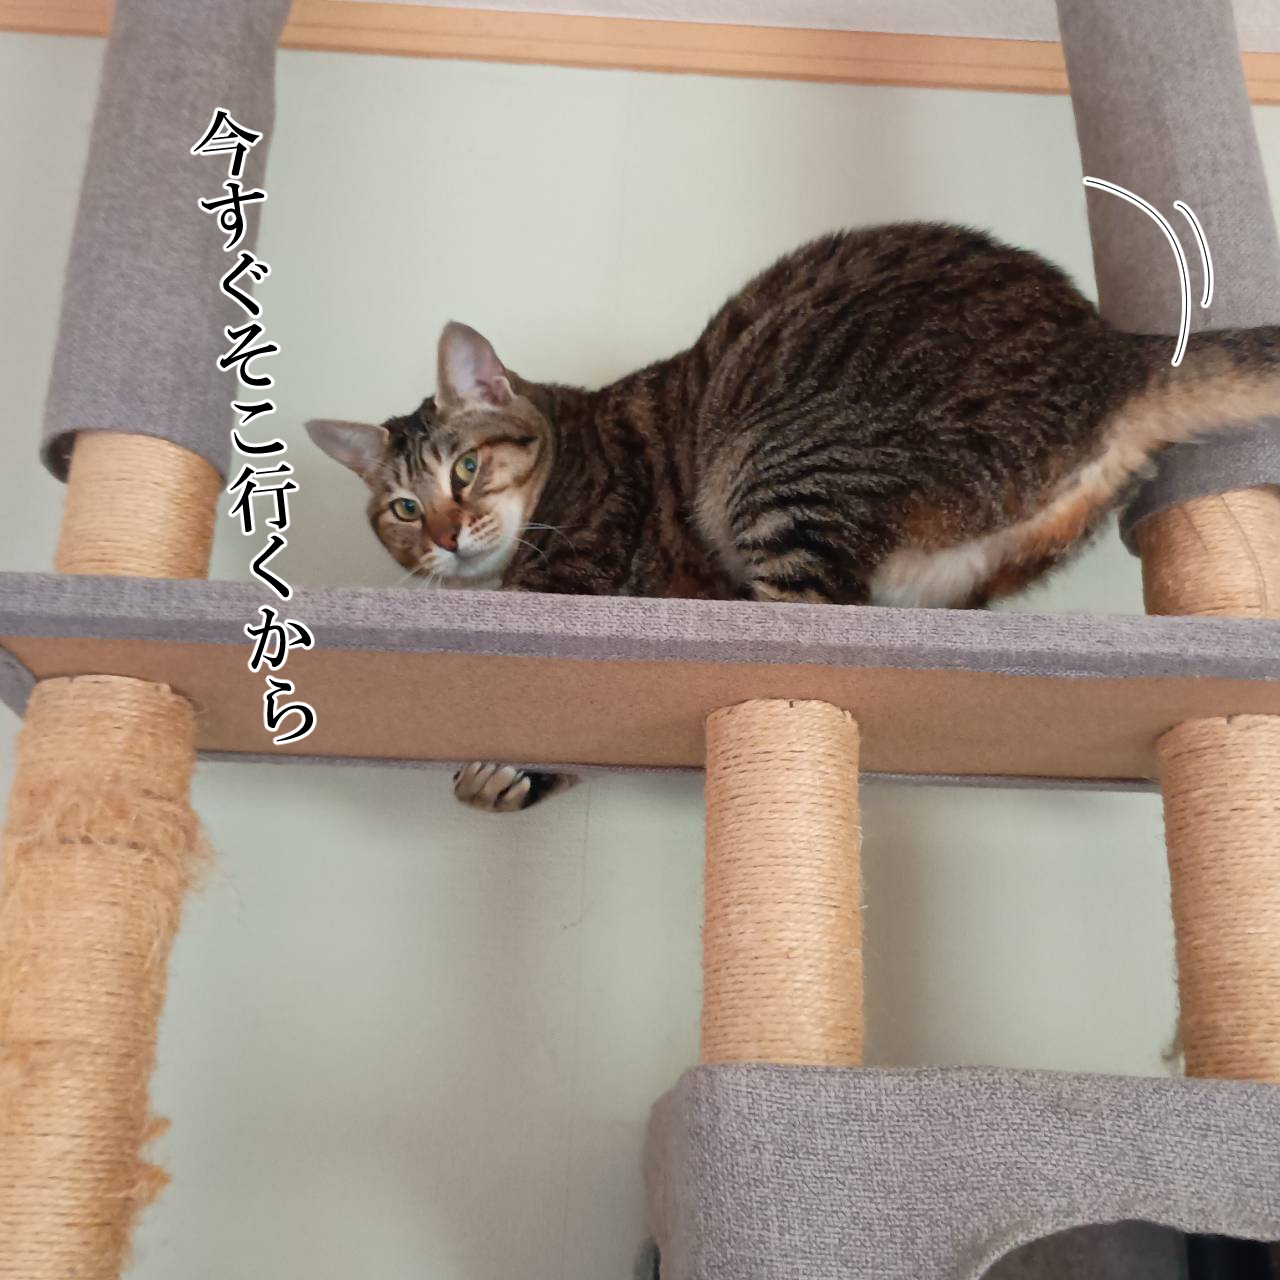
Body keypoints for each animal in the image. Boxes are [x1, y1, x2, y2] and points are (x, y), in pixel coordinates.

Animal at [308, 221, 1280, 813]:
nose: (443, 536)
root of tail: (1105, 350)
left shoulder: (574, 579)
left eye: (466, 469)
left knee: (802, 622)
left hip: (783, 464)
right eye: (402, 508)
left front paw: (496, 768)